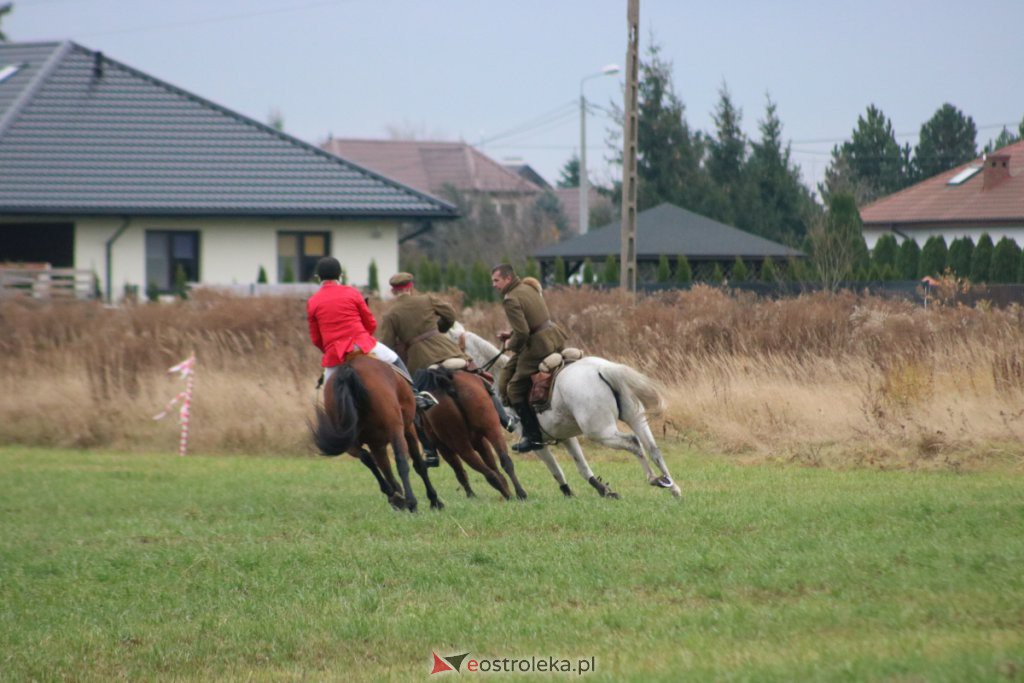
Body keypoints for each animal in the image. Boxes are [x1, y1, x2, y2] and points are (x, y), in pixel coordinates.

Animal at [309, 356, 442, 509]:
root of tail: (349, 371)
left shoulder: (376, 444)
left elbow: (385, 467)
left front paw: (397, 496)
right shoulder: (408, 430)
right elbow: (418, 465)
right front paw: (434, 500)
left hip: (349, 440)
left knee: (366, 458)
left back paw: (393, 494)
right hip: (395, 429)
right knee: (401, 461)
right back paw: (411, 502)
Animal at [415, 368, 528, 501]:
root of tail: (447, 383)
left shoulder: (445, 448)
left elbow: (460, 472)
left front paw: (471, 494)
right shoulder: (480, 442)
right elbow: (494, 467)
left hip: (460, 446)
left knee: (487, 473)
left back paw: (505, 496)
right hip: (490, 431)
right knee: (503, 463)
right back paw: (518, 494)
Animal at [448, 323, 679, 499]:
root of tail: (603, 369)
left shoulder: (536, 443)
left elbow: (555, 470)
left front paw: (567, 492)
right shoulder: (566, 437)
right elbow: (582, 467)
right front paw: (603, 490)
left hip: (600, 432)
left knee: (633, 443)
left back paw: (654, 479)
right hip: (635, 418)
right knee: (653, 449)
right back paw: (673, 488)